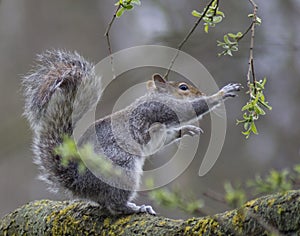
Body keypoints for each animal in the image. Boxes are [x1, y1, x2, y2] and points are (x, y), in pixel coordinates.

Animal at [23, 49, 243, 216]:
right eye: (183, 87)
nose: (201, 93)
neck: (154, 96)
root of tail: (79, 182)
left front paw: (187, 129)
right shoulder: (158, 108)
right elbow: (187, 110)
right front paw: (220, 94)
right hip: (121, 166)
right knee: (114, 205)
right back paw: (136, 208)